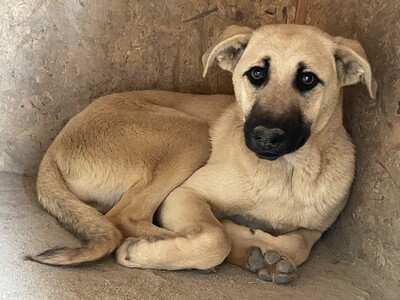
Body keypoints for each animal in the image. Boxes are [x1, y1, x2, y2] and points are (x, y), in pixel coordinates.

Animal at [27, 24, 376, 284]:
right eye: (256, 74)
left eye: (307, 79)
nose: (265, 137)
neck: (286, 173)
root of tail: (54, 148)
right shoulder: (184, 194)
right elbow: (217, 238)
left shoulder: (316, 230)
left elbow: (299, 244)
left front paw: (262, 246)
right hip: (190, 135)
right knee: (125, 217)